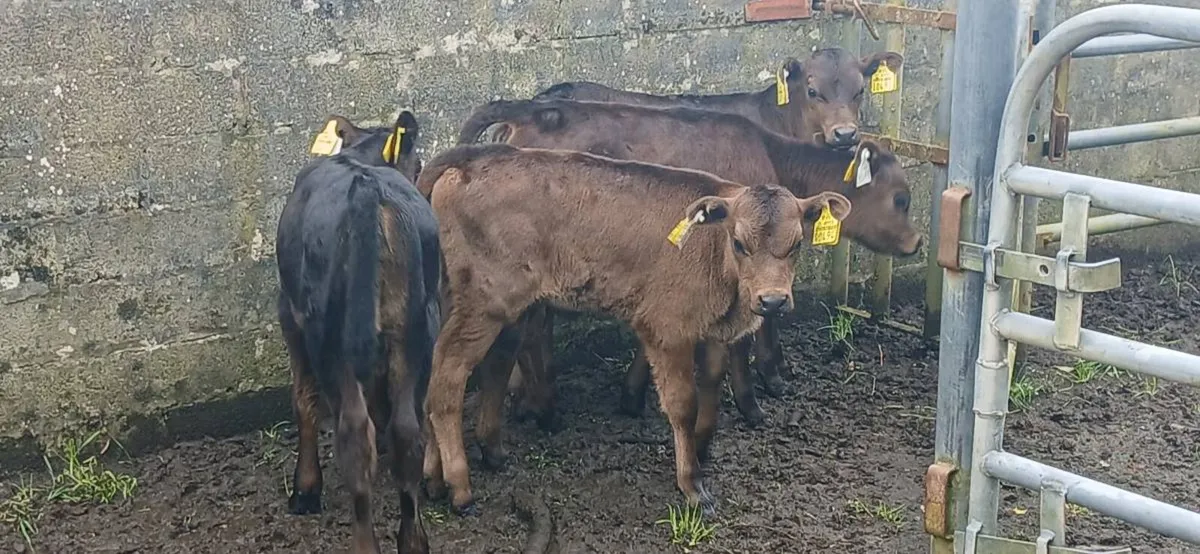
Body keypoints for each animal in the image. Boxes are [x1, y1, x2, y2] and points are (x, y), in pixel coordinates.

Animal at [275, 111, 439, 554]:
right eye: (418, 164)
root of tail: (366, 187)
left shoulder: (289, 315)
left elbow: (303, 400)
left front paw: (305, 489)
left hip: (333, 342)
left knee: (353, 437)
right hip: (416, 332)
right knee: (407, 434)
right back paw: (413, 541)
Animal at [416, 143, 851, 517]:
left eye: (797, 244)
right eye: (740, 243)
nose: (772, 301)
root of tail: (471, 158)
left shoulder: (712, 330)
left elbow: (712, 381)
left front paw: (703, 447)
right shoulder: (669, 330)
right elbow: (683, 404)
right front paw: (692, 484)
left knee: (456, 372)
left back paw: (441, 476)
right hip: (484, 304)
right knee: (447, 379)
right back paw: (460, 488)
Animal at [452, 98, 921, 428]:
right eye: (902, 198)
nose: (917, 243)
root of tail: (526, 109)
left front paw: (633, 394)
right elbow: (744, 336)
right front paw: (753, 402)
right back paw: (539, 405)